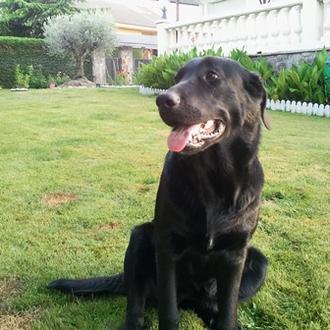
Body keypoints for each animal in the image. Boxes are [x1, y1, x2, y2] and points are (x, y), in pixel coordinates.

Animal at [49, 57, 270, 330]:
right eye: (177, 78)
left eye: (212, 76)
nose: (162, 100)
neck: (214, 180)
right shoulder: (166, 248)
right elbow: (168, 310)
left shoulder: (236, 253)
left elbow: (227, 310)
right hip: (140, 237)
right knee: (136, 303)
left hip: (258, 261)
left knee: (211, 302)